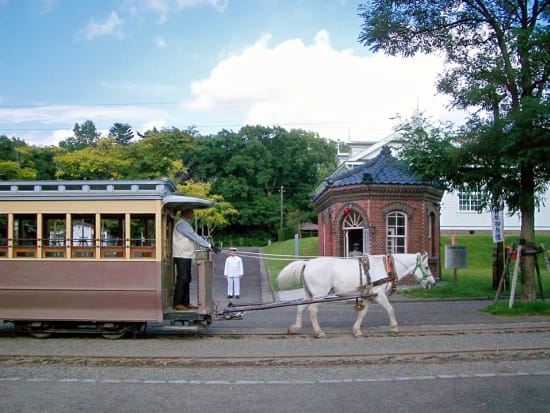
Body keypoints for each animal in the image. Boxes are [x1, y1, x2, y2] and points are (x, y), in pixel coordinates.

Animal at [278, 253, 438, 336]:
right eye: (426, 267)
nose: (433, 283)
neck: (386, 268)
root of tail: (307, 263)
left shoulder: (369, 296)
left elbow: (362, 313)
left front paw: (356, 330)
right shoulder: (379, 295)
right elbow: (390, 309)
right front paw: (394, 328)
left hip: (309, 294)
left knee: (300, 308)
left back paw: (294, 328)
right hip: (319, 295)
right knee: (312, 311)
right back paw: (318, 332)